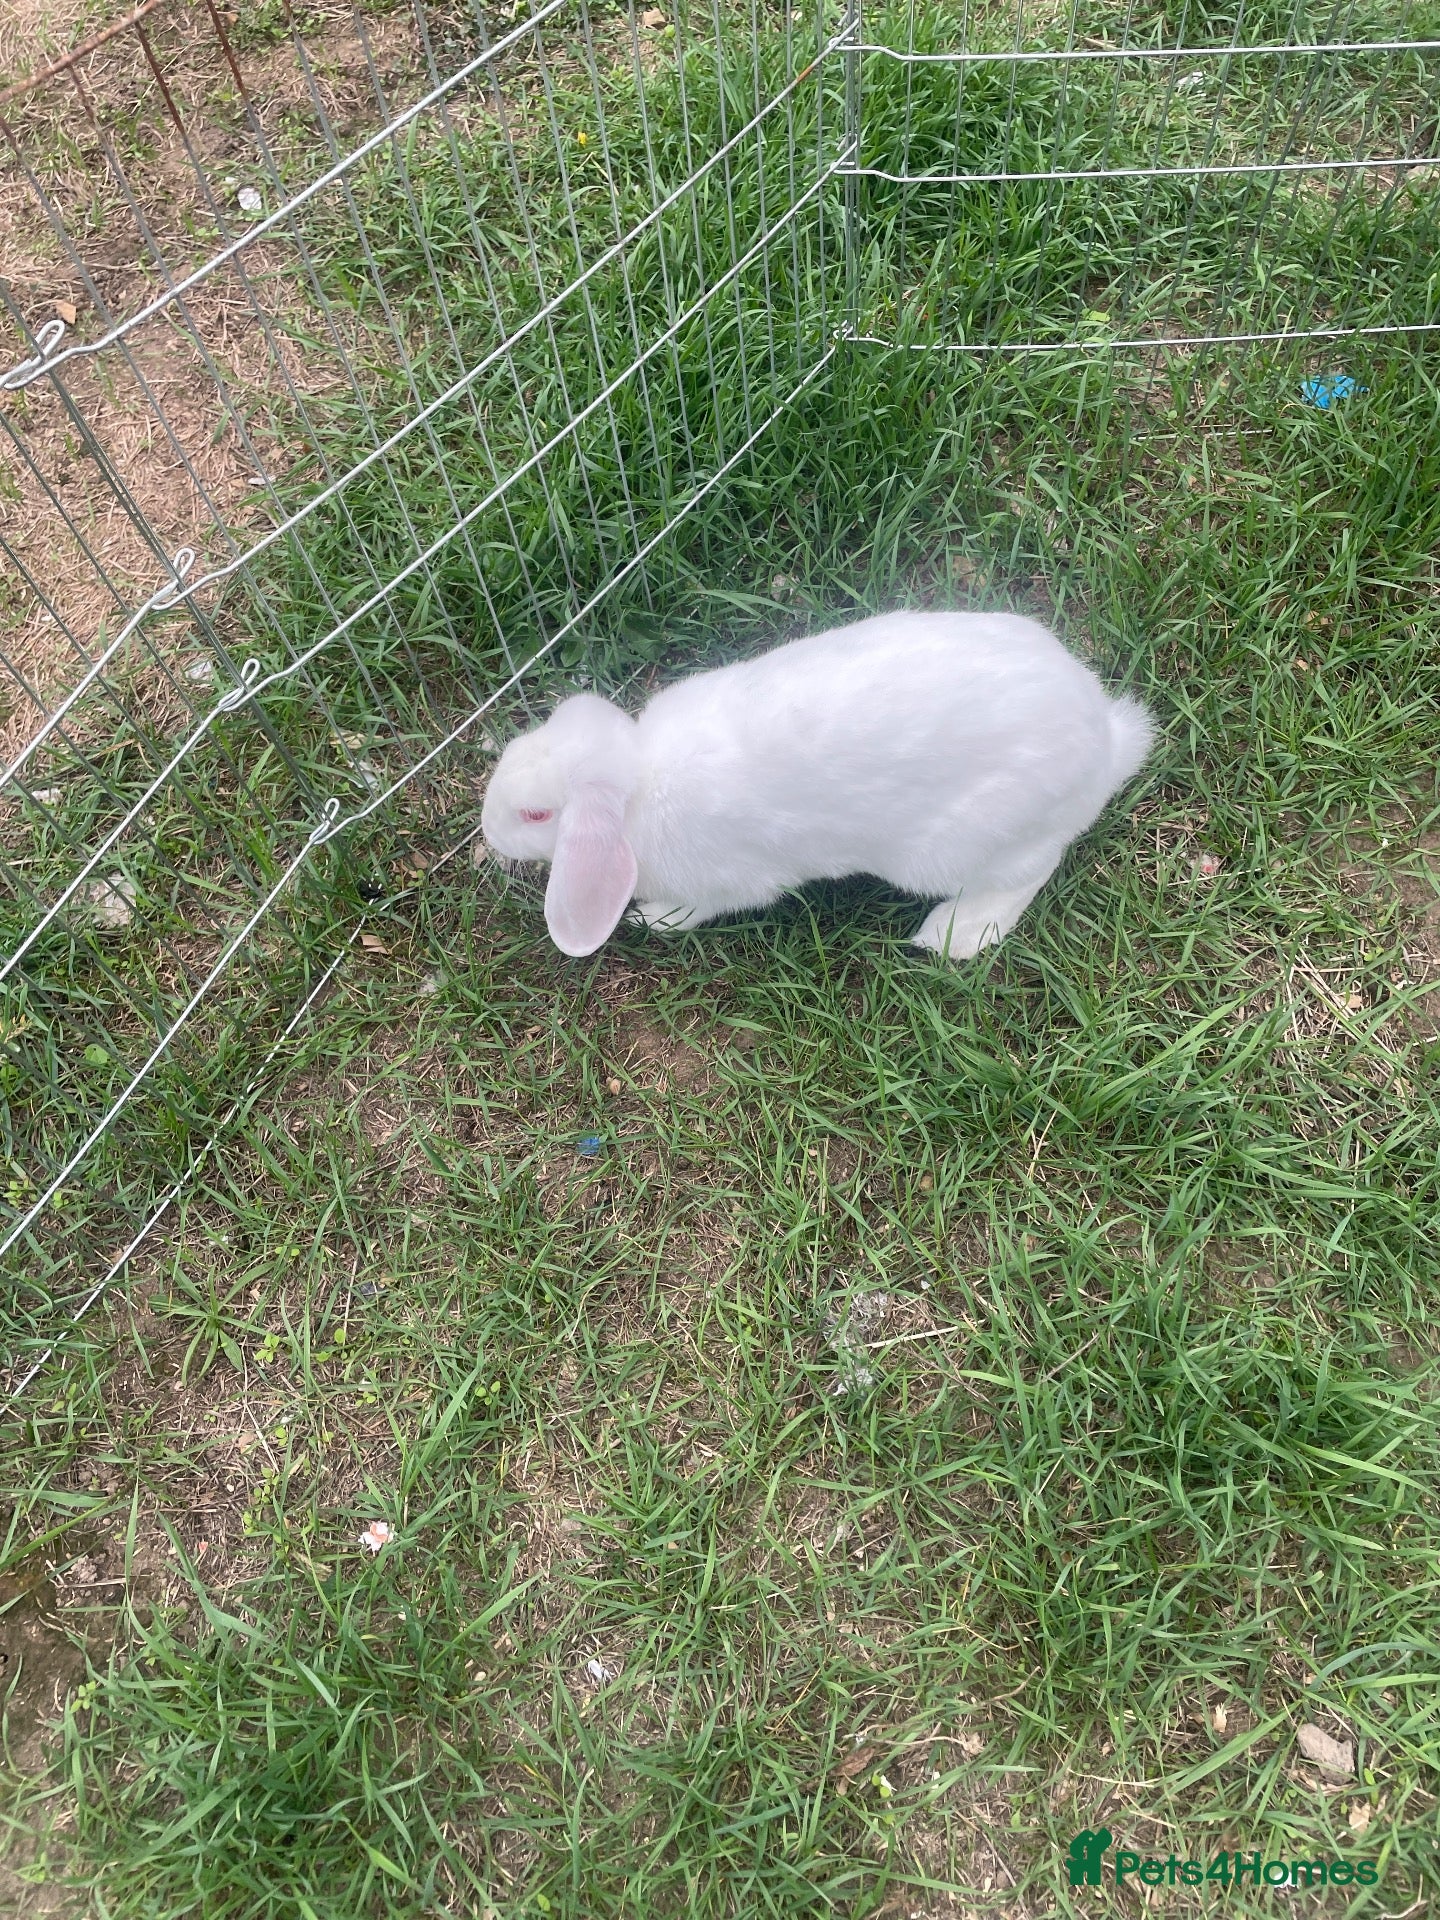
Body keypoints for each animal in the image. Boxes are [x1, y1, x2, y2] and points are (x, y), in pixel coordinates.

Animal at [480, 608, 1153, 961]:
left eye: (537, 816)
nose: (487, 833)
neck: (640, 787)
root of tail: (1104, 741)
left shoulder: (727, 883)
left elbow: (699, 908)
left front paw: (653, 920)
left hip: (960, 848)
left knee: (1032, 871)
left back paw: (952, 934)